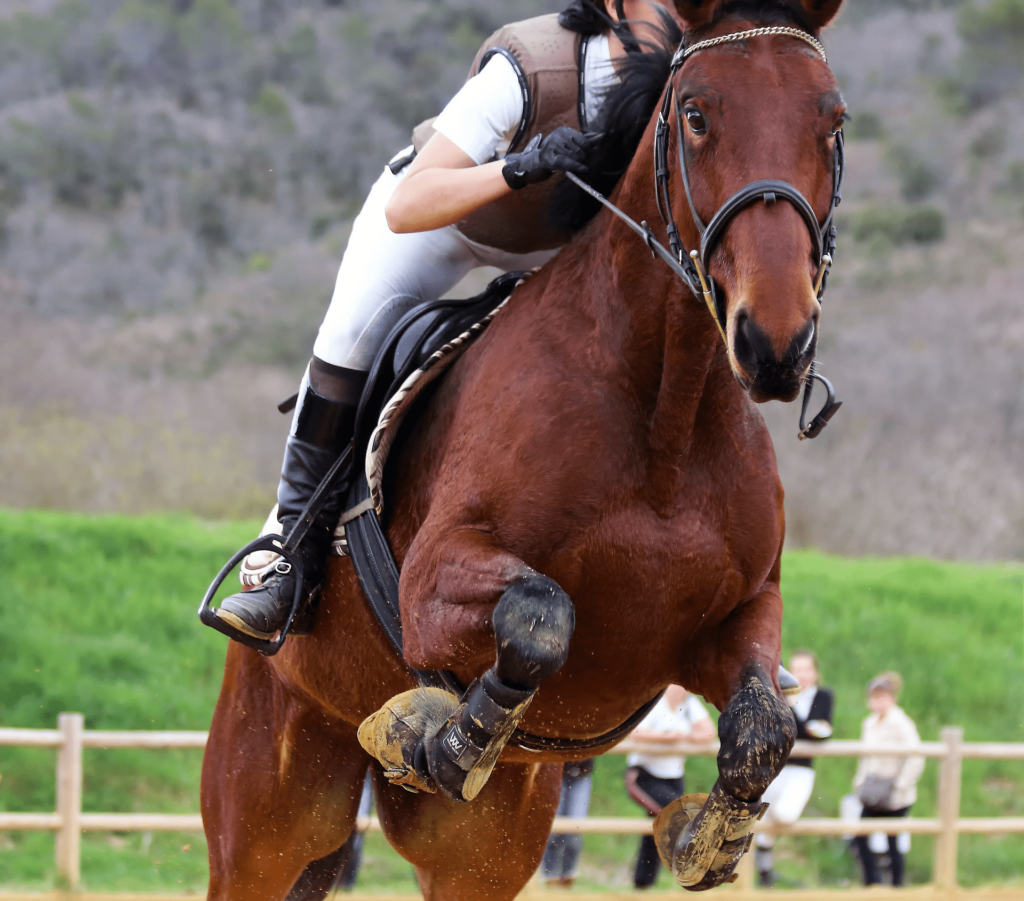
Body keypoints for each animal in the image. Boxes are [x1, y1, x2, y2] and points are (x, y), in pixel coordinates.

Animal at [200, 1, 848, 897]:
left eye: (833, 121)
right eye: (695, 116)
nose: (775, 342)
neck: (667, 414)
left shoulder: (737, 618)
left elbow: (764, 724)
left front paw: (707, 836)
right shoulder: (434, 583)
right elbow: (542, 614)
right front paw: (440, 738)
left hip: (481, 851)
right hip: (264, 819)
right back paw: (275, 596)